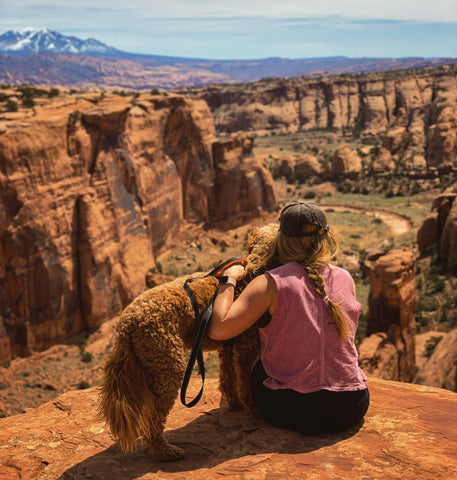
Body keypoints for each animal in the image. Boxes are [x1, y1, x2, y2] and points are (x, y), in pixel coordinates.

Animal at [98, 224, 278, 462]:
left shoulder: (227, 347)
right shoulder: (245, 347)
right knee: (153, 420)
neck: (252, 270)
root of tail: (126, 323)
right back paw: (167, 452)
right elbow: (245, 381)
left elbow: (228, 378)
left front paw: (235, 403)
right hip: (167, 364)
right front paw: (254, 411)